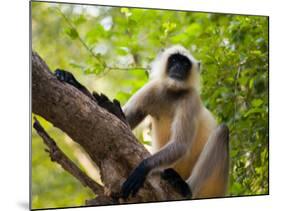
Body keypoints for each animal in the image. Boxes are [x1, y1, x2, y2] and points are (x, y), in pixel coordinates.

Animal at [121, 45, 230, 199]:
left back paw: (186, 187)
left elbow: (180, 145)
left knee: (222, 131)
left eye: (184, 63)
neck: (173, 92)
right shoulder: (152, 88)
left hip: (215, 187)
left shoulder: (190, 99)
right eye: (174, 60)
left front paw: (143, 167)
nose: (178, 67)